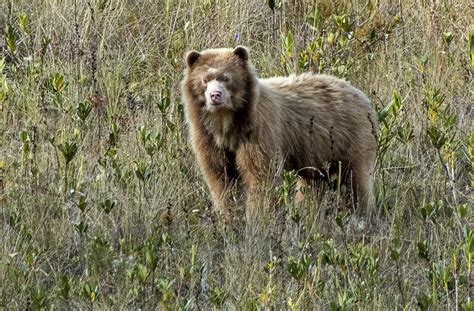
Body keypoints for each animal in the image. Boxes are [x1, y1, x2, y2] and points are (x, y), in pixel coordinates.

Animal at [181, 46, 378, 218]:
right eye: (205, 79)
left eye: (226, 78)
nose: (215, 95)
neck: (226, 124)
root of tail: (360, 94)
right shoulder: (208, 138)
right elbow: (220, 177)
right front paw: (228, 216)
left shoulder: (259, 130)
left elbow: (260, 175)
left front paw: (256, 218)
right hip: (318, 153)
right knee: (312, 186)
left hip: (350, 137)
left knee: (355, 180)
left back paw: (362, 214)